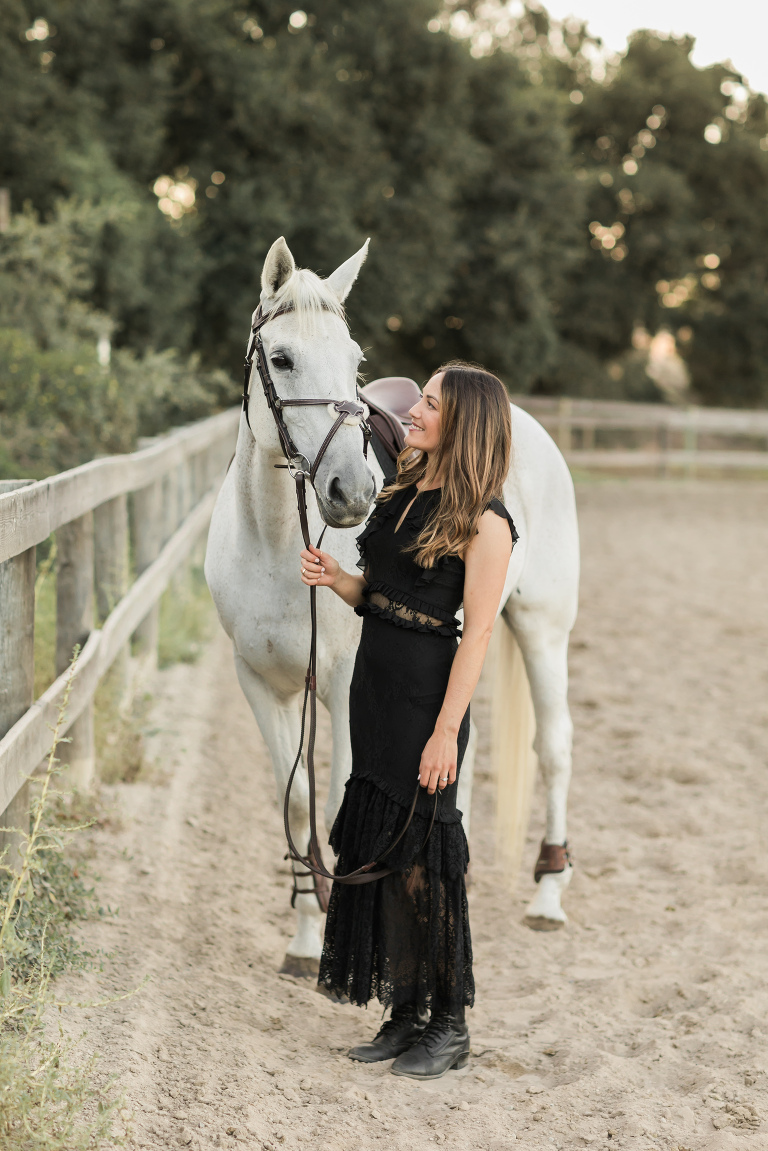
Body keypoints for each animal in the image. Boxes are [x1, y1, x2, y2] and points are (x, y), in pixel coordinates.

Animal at [205, 236, 579, 976]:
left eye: (355, 361)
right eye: (282, 358)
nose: (351, 492)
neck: (274, 541)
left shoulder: (350, 683)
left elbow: (342, 799)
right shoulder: (259, 682)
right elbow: (298, 806)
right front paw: (303, 935)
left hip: (543, 629)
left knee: (553, 746)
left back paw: (548, 895)